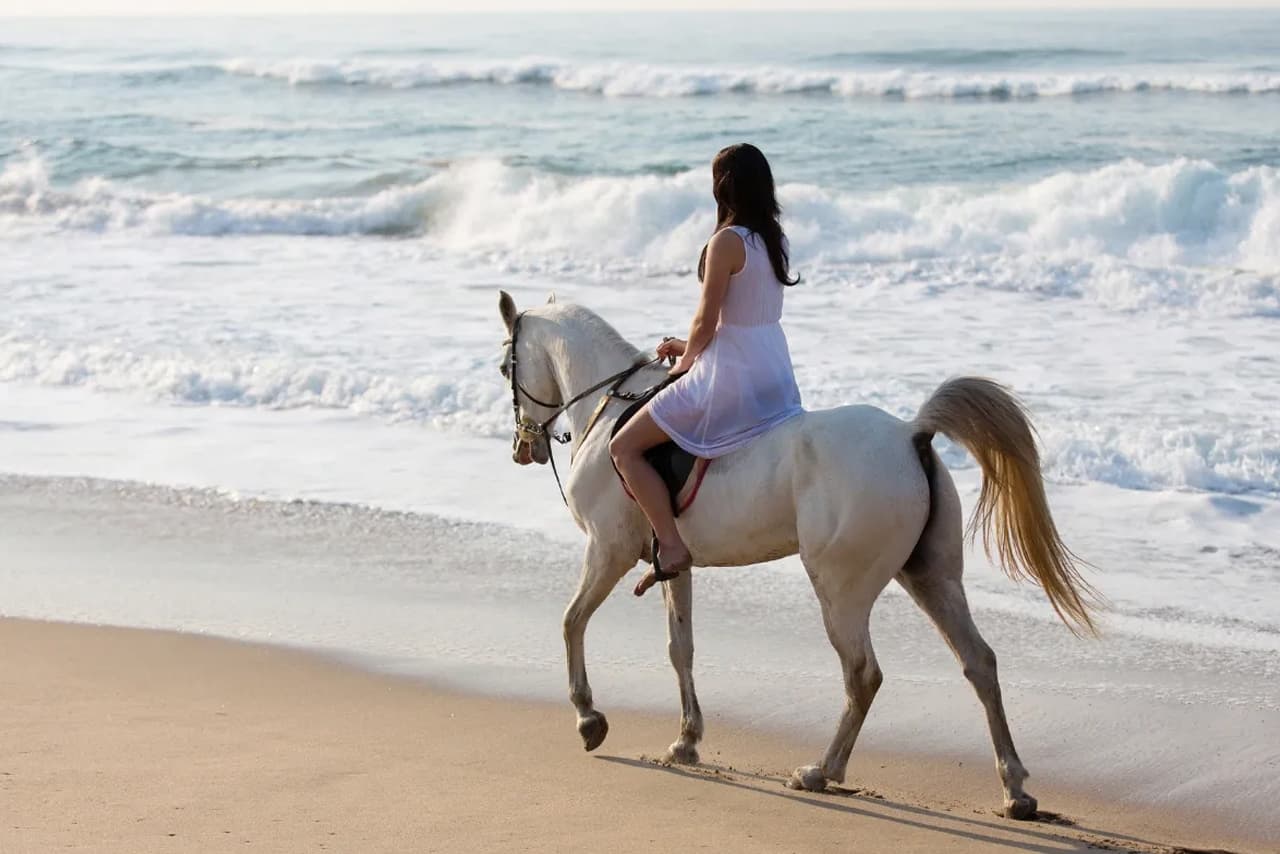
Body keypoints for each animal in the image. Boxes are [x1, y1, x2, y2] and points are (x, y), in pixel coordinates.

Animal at [496, 290, 1095, 820]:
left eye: (505, 368)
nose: (523, 449)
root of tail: (911, 434)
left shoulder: (608, 550)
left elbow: (572, 621)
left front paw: (588, 718)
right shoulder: (673, 565)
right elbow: (679, 648)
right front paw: (686, 741)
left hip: (841, 590)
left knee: (863, 674)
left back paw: (821, 771)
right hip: (931, 578)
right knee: (979, 663)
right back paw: (1015, 791)